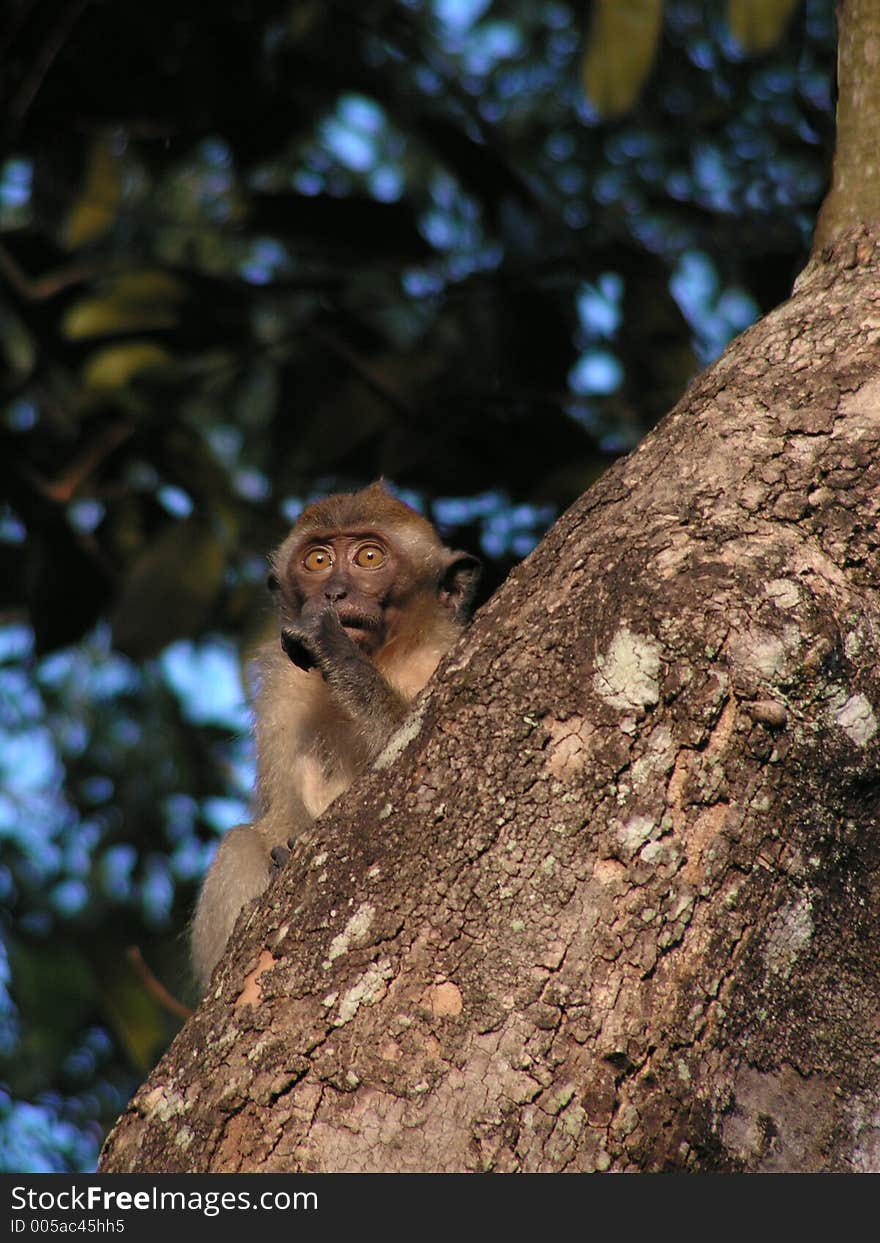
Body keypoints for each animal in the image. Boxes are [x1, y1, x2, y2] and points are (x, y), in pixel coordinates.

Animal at [190, 482, 482, 989]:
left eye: (368, 557)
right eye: (319, 560)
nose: (333, 592)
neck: (386, 655)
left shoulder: (447, 653)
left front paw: (335, 650)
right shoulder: (283, 688)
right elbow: (282, 817)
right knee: (242, 842)